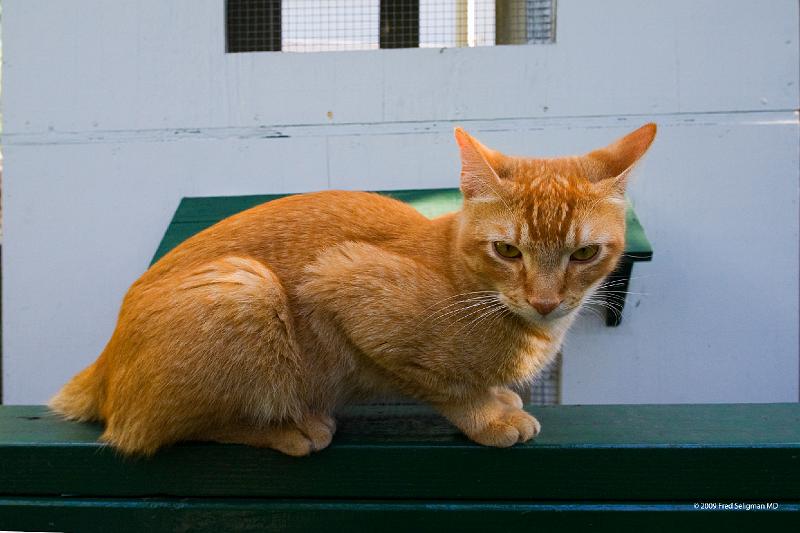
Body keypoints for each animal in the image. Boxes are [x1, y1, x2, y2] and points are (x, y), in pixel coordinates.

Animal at [48, 122, 656, 456]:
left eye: (584, 254)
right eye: (508, 251)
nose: (546, 301)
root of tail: (102, 365)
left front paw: (499, 397)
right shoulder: (340, 283)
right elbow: (447, 389)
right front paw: (489, 416)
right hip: (246, 287)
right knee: (144, 430)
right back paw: (290, 428)